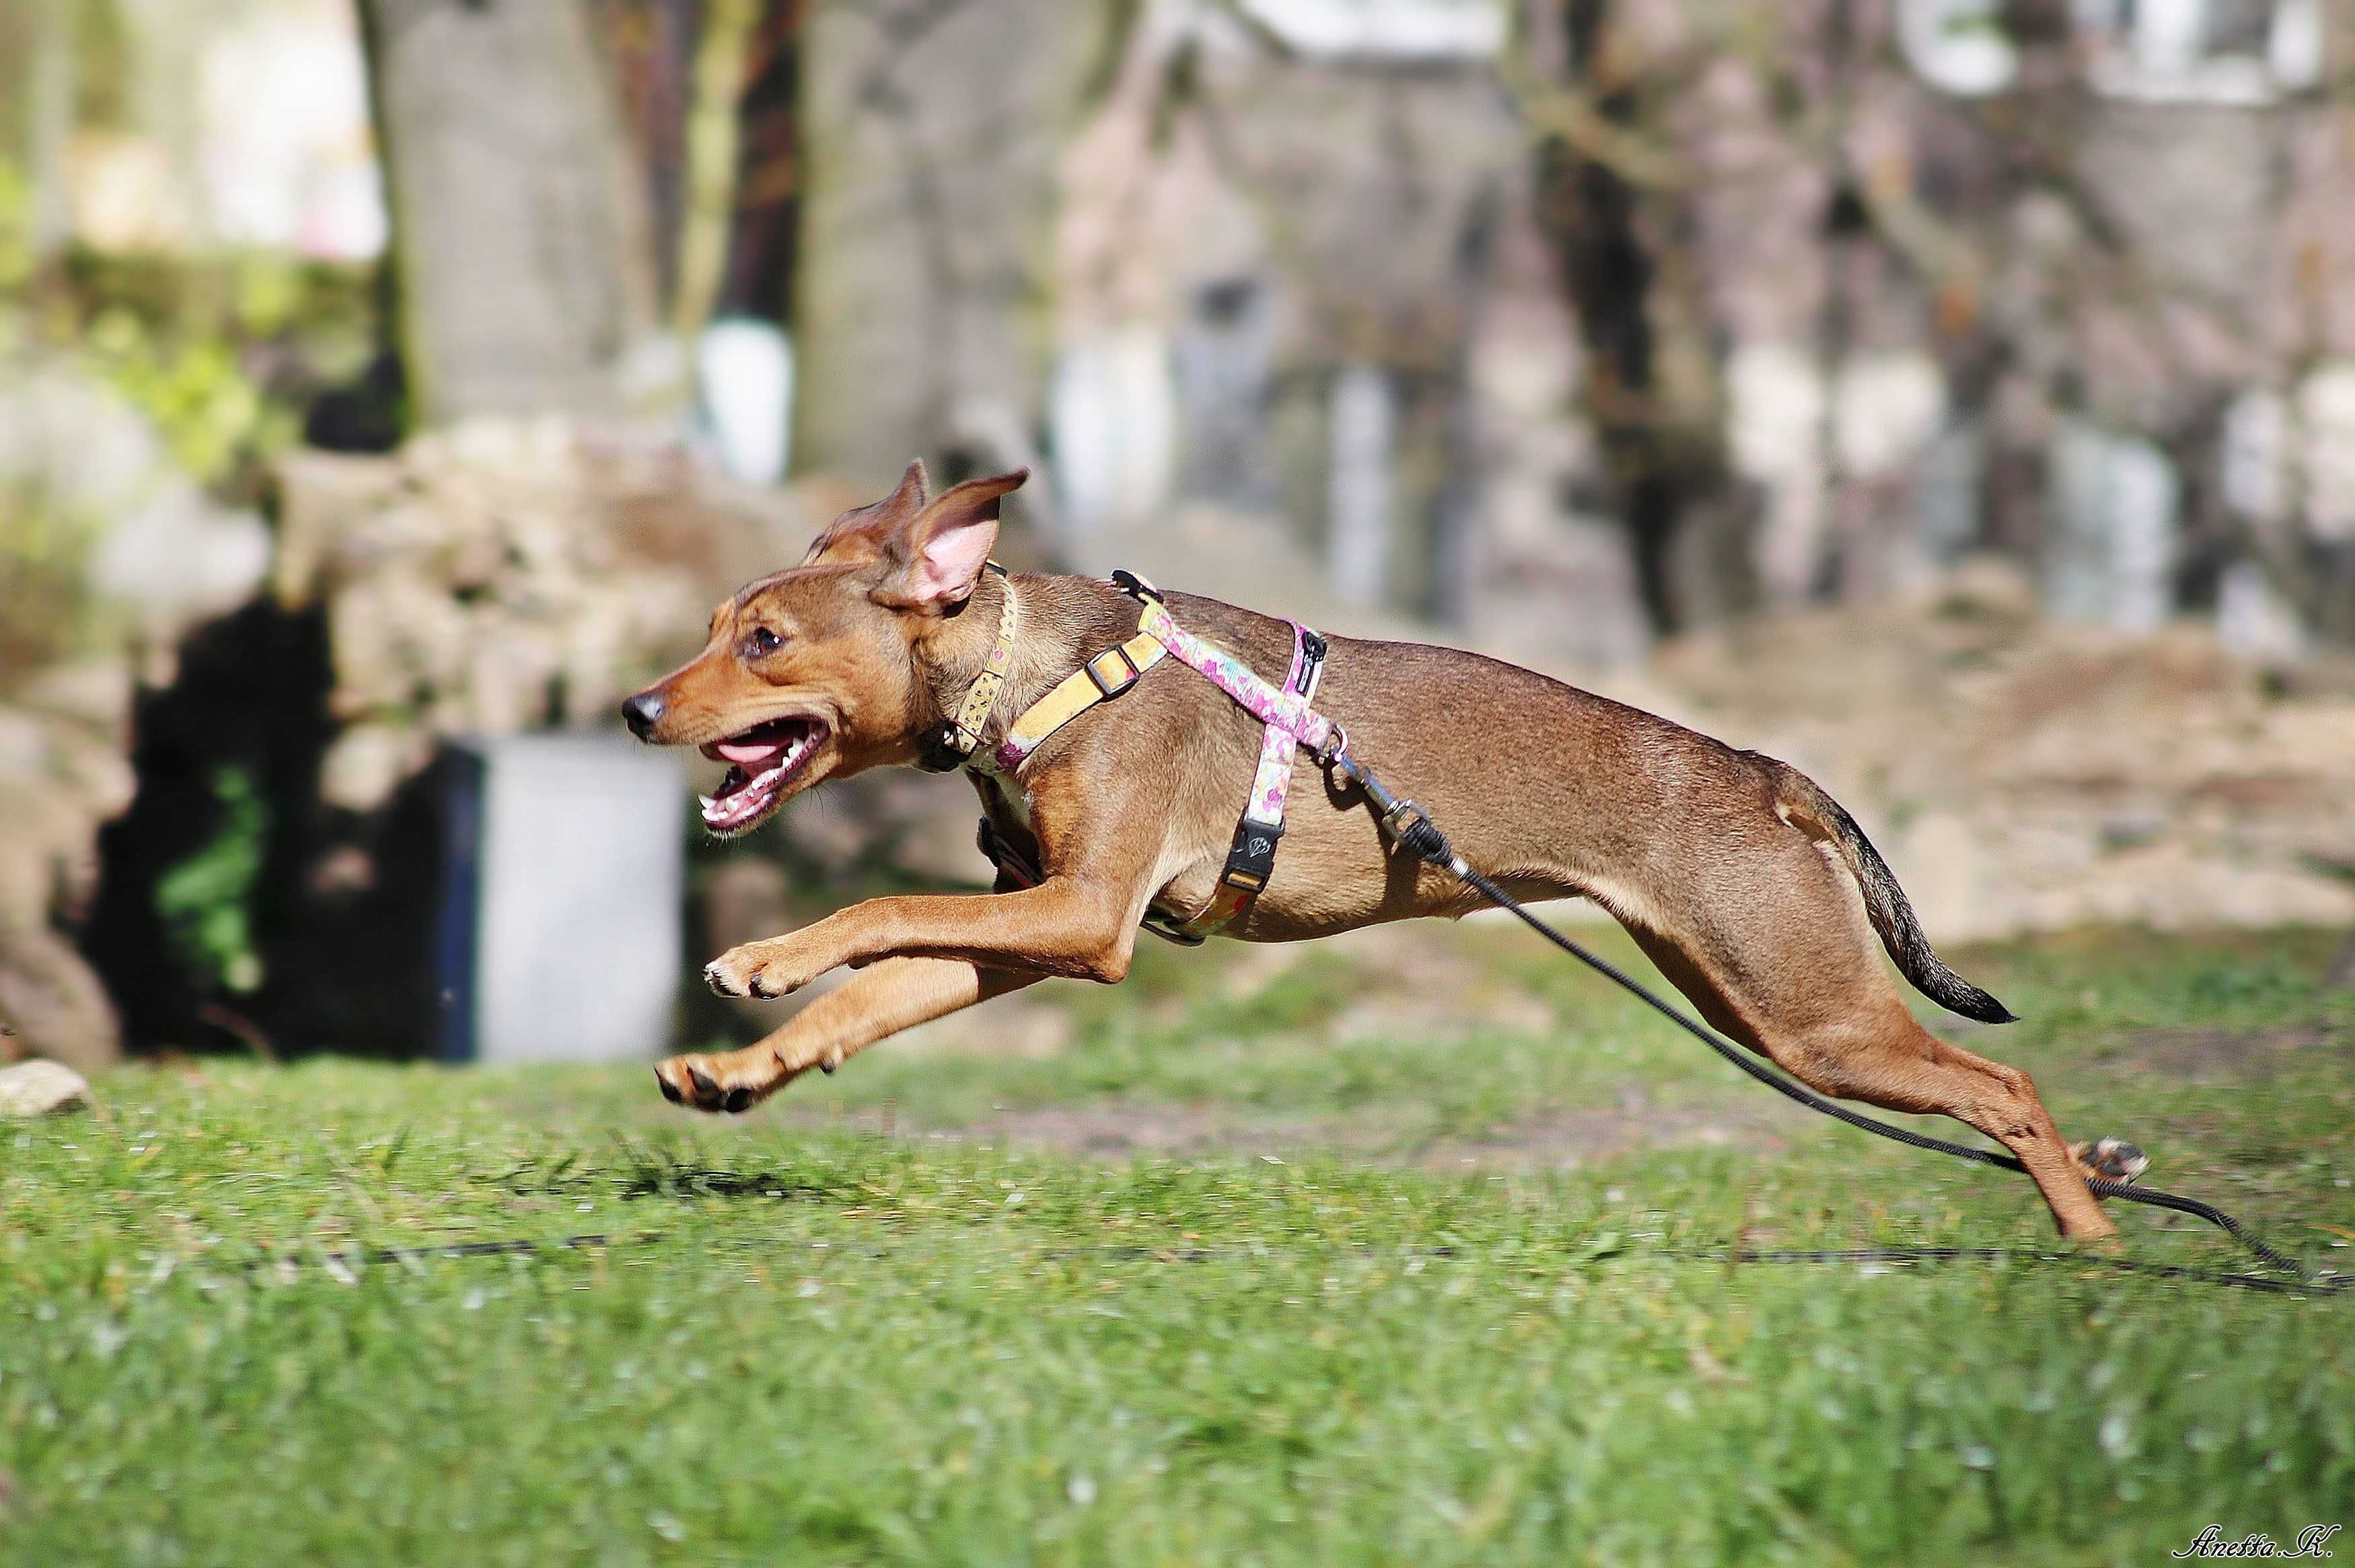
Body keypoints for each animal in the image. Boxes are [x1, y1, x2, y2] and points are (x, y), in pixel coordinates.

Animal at [622, 461, 2138, 1234]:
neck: (1030, 672)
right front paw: (736, 1073)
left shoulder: (1088, 918)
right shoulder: (1037, 930)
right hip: (1745, 992)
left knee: (2002, 1081)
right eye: (709, 626)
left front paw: (762, 955)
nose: (636, 708)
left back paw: (2092, 1232)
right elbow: (875, 995)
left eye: (766, 642)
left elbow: (871, 909)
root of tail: (1765, 773)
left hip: (1808, 1013)